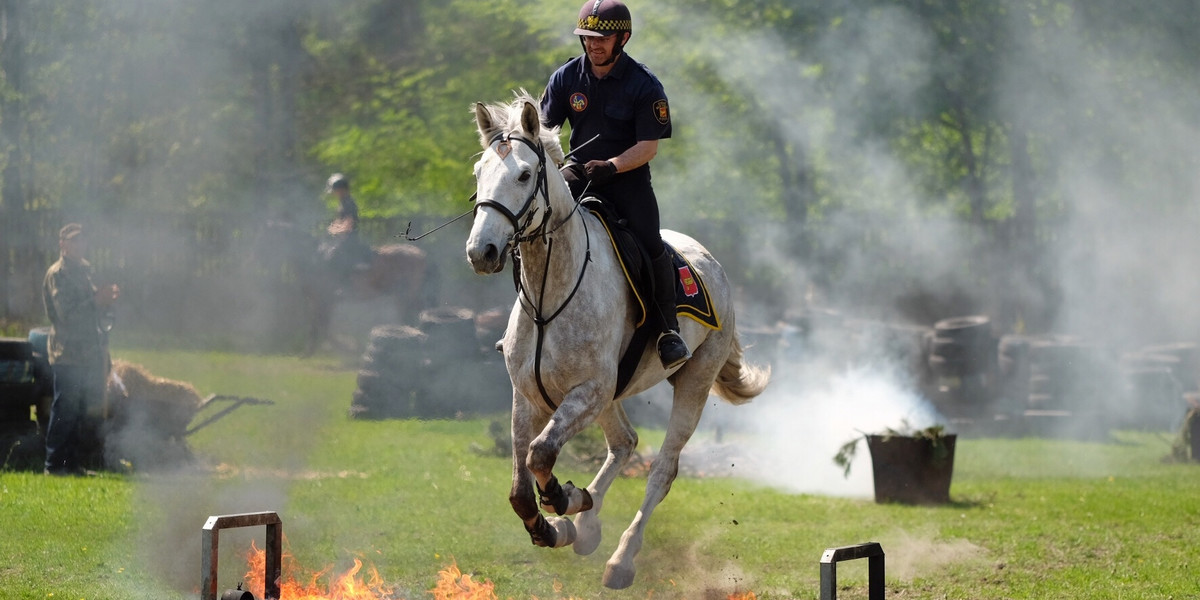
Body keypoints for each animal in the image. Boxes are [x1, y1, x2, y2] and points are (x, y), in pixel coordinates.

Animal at [463, 94, 772, 590]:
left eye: (525, 175)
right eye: (478, 173)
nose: (482, 252)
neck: (551, 295)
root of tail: (714, 265)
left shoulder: (588, 391)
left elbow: (541, 454)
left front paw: (565, 502)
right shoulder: (528, 397)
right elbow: (520, 489)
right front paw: (559, 524)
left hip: (692, 382)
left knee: (662, 470)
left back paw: (620, 558)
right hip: (612, 394)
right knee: (625, 442)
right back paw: (587, 527)